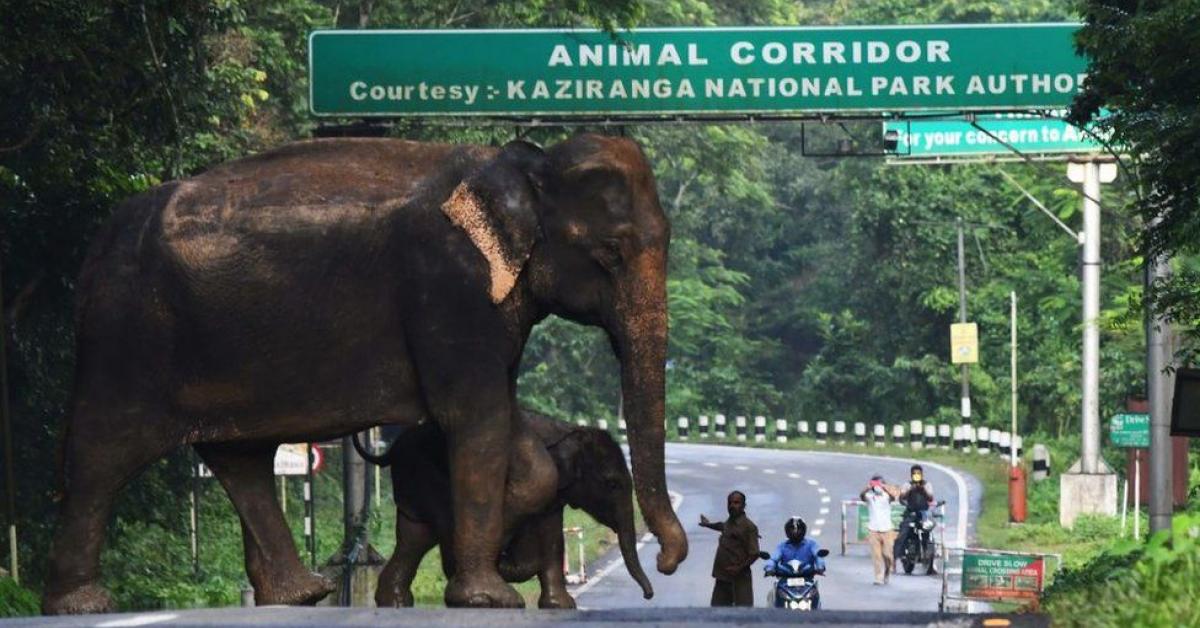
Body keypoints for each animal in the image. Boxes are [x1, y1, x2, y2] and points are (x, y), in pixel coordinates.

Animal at [357, 413, 648, 609]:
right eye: (612, 484)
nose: (648, 595)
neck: (571, 430)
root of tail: (391, 451)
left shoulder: (553, 493)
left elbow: (552, 536)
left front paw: (561, 606)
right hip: (428, 475)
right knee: (437, 528)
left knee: (414, 538)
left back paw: (396, 603)